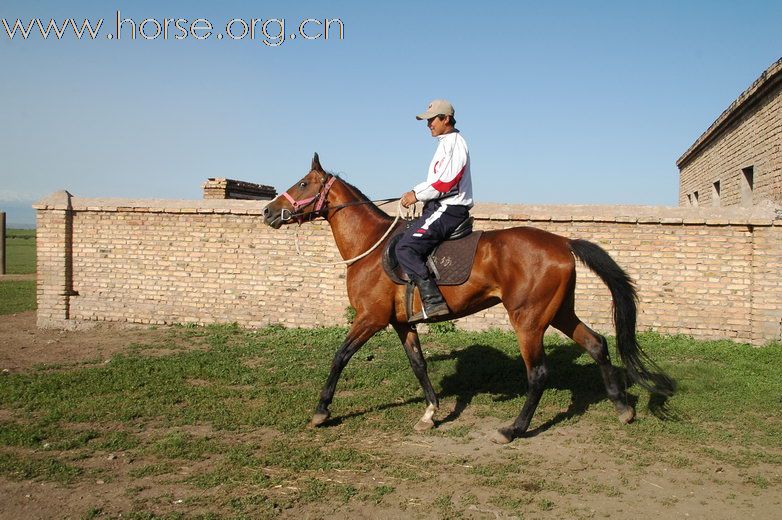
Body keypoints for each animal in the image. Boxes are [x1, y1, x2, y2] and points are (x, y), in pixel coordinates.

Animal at [264, 154, 672, 442]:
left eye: (303, 183)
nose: (268, 211)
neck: (371, 246)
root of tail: (562, 241)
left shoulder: (371, 319)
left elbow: (339, 357)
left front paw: (321, 411)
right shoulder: (401, 324)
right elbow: (419, 365)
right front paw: (430, 413)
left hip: (528, 320)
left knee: (538, 373)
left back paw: (514, 429)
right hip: (557, 313)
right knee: (597, 343)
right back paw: (622, 408)